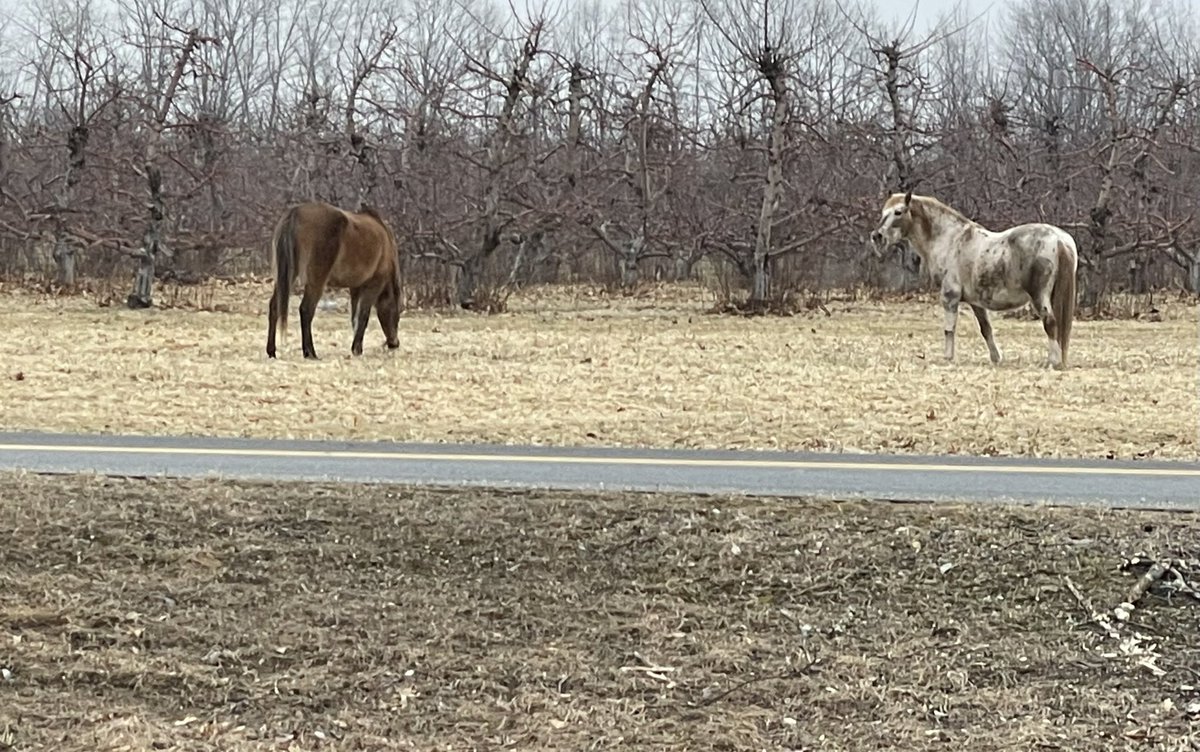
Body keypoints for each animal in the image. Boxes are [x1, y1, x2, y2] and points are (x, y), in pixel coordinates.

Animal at [266, 201, 402, 360]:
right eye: (397, 311)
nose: (394, 343)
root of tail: (295, 213)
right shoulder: (373, 284)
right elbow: (363, 315)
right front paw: (357, 349)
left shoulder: (355, 287)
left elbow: (355, 317)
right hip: (316, 281)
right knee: (306, 310)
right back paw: (310, 352)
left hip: (287, 276)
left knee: (274, 307)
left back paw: (271, 351)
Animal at [870, 191, 1078, 370]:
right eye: (883, 212)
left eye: (898, 212)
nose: (876, 236)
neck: (950, 240)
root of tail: (1059, 240)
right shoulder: (976, 302)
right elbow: (986, 329)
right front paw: (996, 358)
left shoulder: (950, 296)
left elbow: (949, 329)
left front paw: (948, 358)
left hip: (1039, 296)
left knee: (1050, 322)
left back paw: (1053, 361)